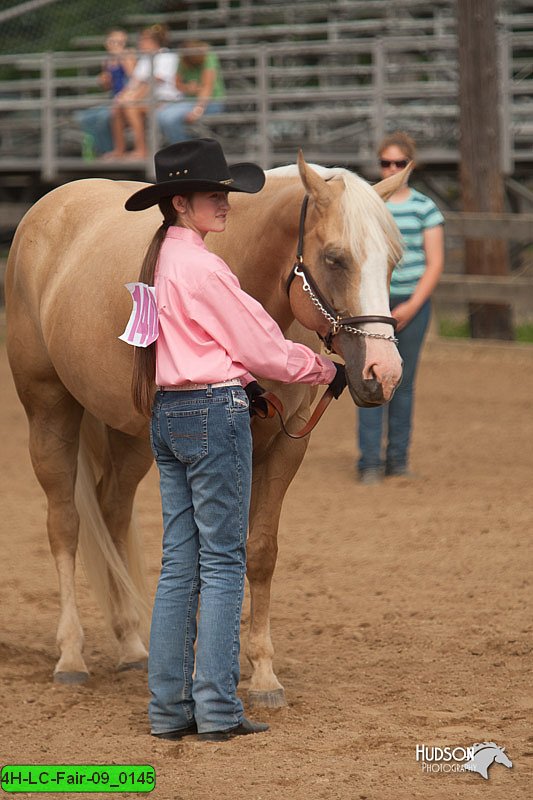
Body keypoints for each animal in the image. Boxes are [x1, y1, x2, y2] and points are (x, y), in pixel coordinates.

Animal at [6, 156, 404, 708]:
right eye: (335, 258)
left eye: (393, 262)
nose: (382, 374)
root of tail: (46, 209)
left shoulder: (284, 448)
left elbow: (259, 552)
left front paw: (262, 675)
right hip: (49, 412)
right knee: (65, 523)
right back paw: (71, 656)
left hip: (130, 437)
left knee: (111, 511)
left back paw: (131, 645)